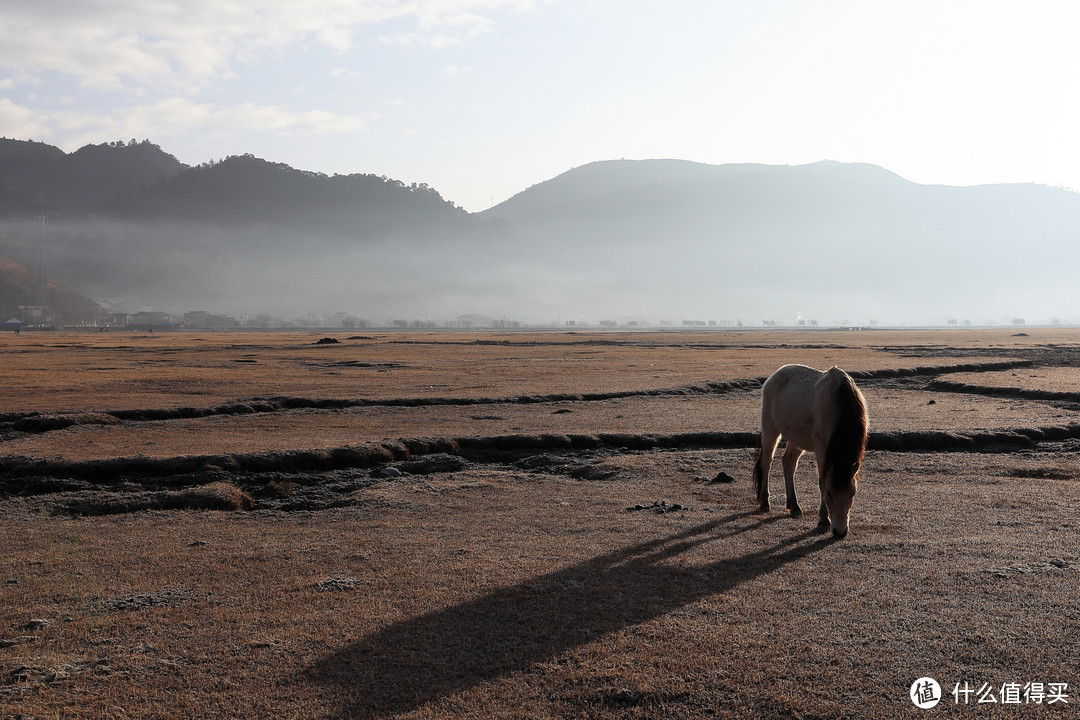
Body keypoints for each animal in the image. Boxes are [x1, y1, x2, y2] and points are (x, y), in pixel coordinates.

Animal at [760, 362, 868, 537]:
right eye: (829, 493)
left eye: (852, 493)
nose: (840, 532)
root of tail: (775, 376)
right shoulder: (821, 447)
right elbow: (822, 481)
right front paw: (824, 519)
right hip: (770, 428)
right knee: (767, 462)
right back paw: (764, 502)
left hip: (796, 438)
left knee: (788, 463)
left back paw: (794, 507)